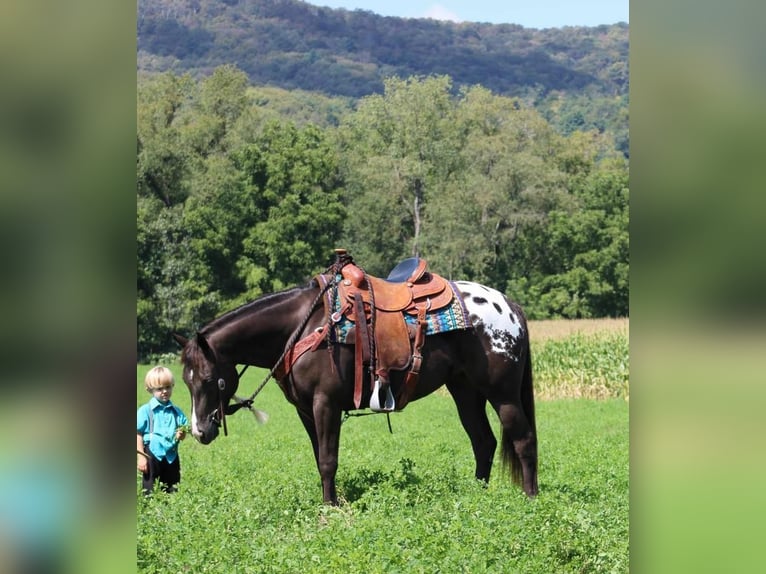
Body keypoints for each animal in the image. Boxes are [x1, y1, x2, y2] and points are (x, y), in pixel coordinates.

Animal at [172, 256, 540, 504]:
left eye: (210, 379)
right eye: (186, 381)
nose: (199, 431)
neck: (303, 327)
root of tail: (509, 306)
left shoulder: (326, 404)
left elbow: (328, 459)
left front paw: (330, 507)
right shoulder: (305, 411)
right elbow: (318, 457)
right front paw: (329, 501)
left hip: (503, 393)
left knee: (523, 439)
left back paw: (530, 496)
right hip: (465, 391)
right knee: (483, 442)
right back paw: (477, 494)